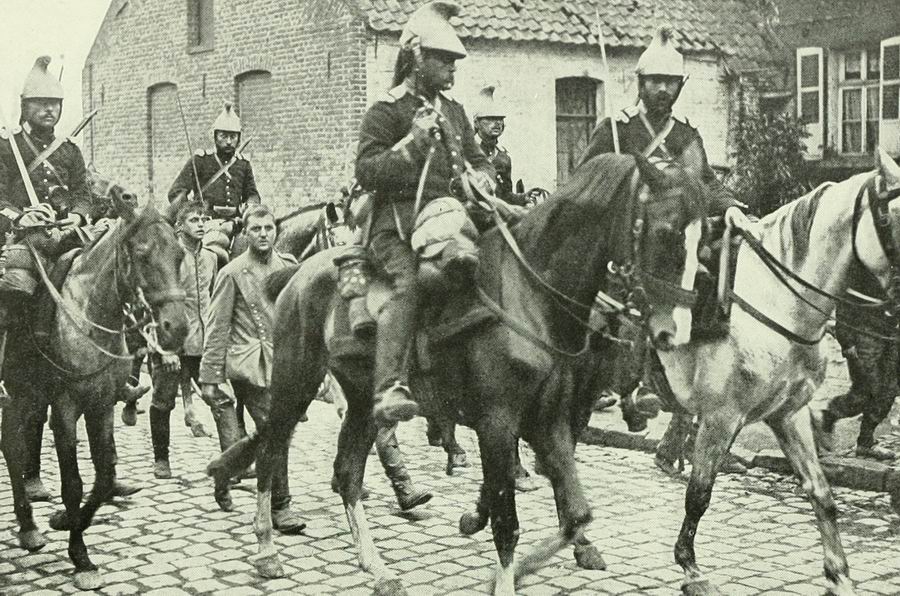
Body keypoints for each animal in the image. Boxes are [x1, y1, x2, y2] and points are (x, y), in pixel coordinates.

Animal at [1, 187, 188, 592]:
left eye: (180, 255)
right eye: (141, 254)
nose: (177, 329)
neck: (87, 315)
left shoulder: (101, 405)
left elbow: (103, 478)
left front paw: (64, 522)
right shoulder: (65, 408)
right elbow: (73, 483)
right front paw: (80, 556)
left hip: (23, 393)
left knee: (11, 446)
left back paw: (28, 527)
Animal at [211, 151, 712, 592]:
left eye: (702, 241)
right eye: (666, 231)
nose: (673, 331)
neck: (530, 296)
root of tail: (293, 274)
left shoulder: (549, 420)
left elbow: (576, 514)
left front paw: (521, 564)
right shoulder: (498, 422)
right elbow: (508, 522)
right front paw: (502, 574)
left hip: (363, 400)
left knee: (347, 474)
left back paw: (378, 570)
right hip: (295, 381)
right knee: (271, 451)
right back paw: (266, 548)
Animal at [652, 148, 900, 596]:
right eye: (894, 216)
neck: (778, 301)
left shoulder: (788, 413)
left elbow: (821, 492)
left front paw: (838, 574)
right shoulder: (721, 418)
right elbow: (699, 495)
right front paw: (690, 567)